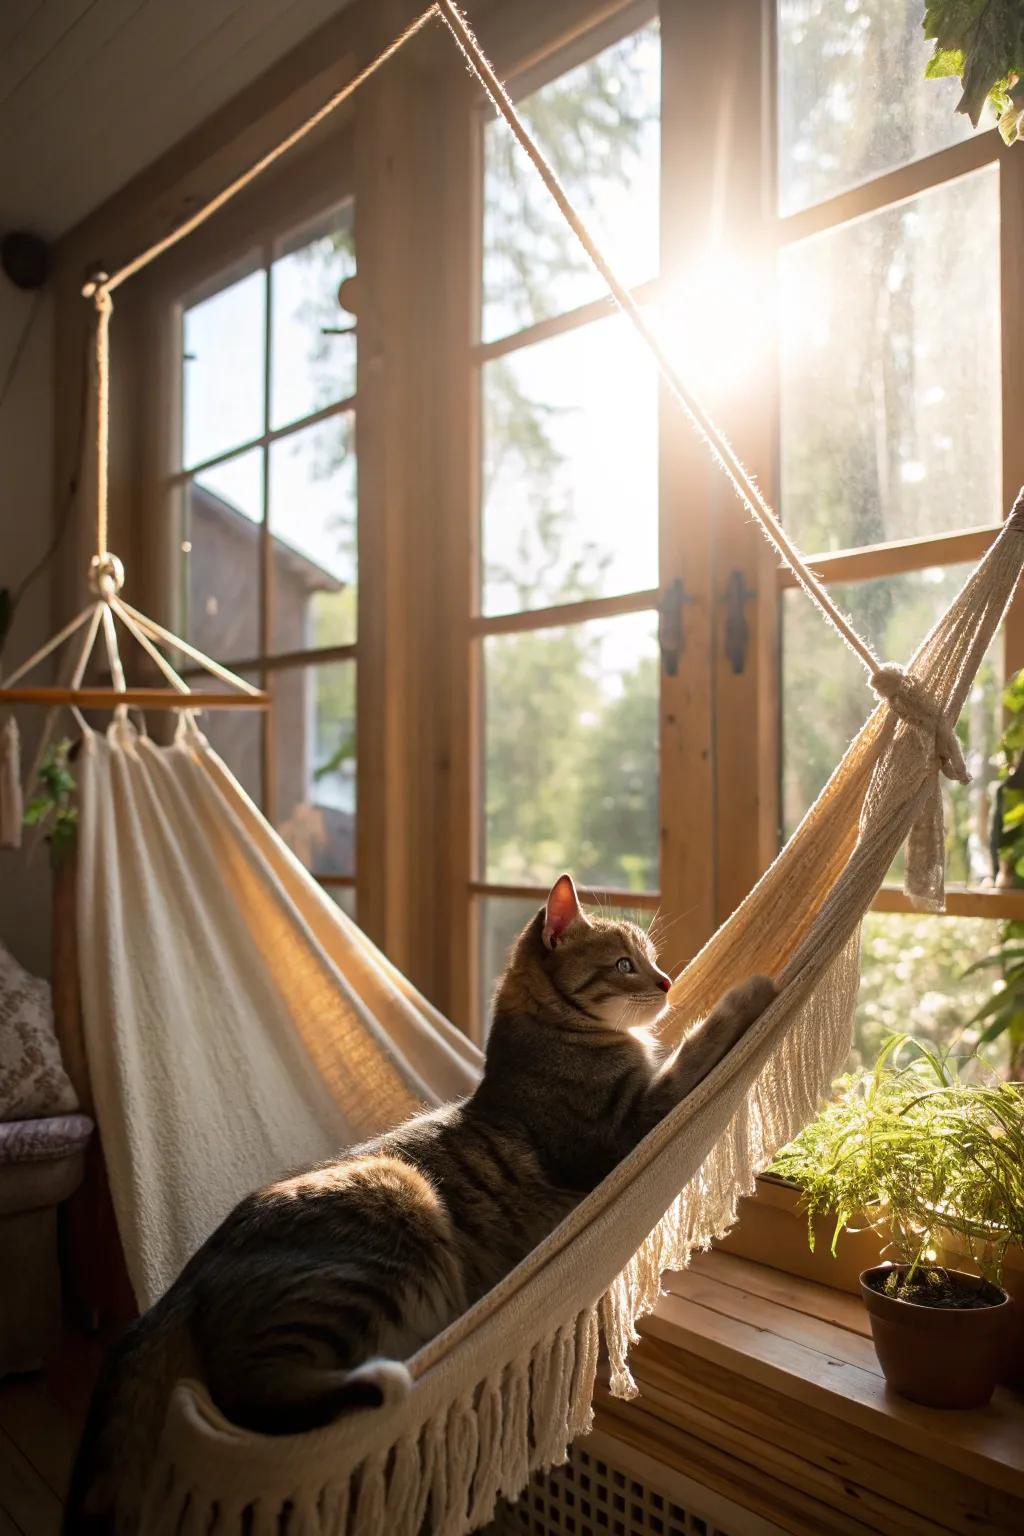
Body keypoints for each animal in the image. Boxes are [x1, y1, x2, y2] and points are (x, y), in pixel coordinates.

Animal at [67, 878, 773, 1536]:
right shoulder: (627, 1130)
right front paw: (750, 990)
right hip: (384, 1215)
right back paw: (377, 1382)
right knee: (254, 1393)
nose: (668, 980)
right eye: (625, 963)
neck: (549, 1043)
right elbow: (693, 1050)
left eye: (649, 958)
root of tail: (194, 1270)